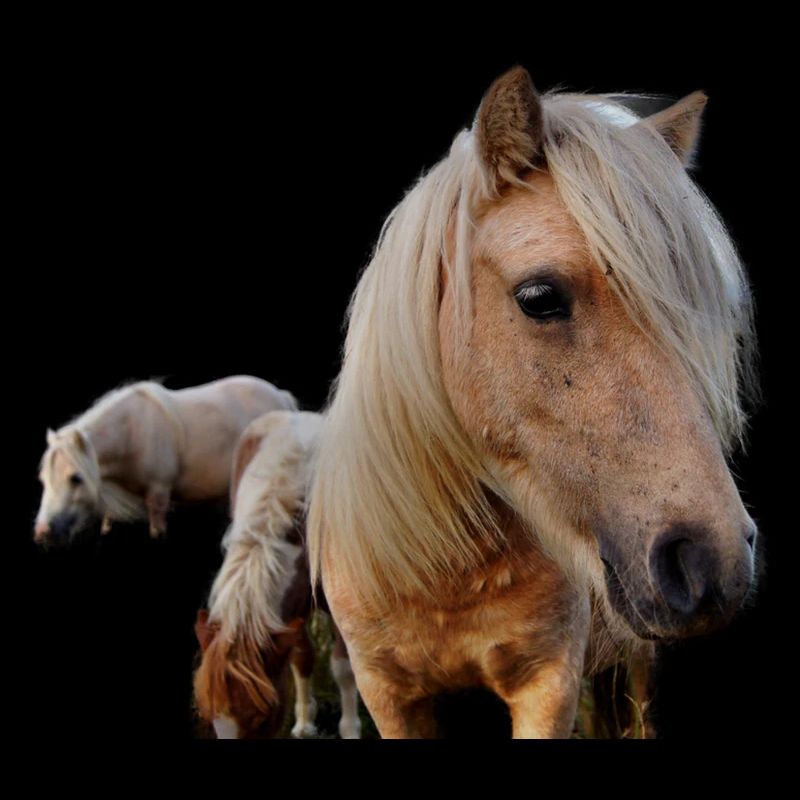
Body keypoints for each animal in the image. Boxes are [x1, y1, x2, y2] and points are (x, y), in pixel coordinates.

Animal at [34, 375, 297, 544]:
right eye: (43, 480)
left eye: (76, 478)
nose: (42, 531)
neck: (132, 432)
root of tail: (281, 397)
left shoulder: (158, 493)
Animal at [193, 410, 361, 739]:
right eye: (212, 719)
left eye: (262, 717)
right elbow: (301, 656)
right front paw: (305, 723)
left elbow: (343, 667)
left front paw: (350, 729)